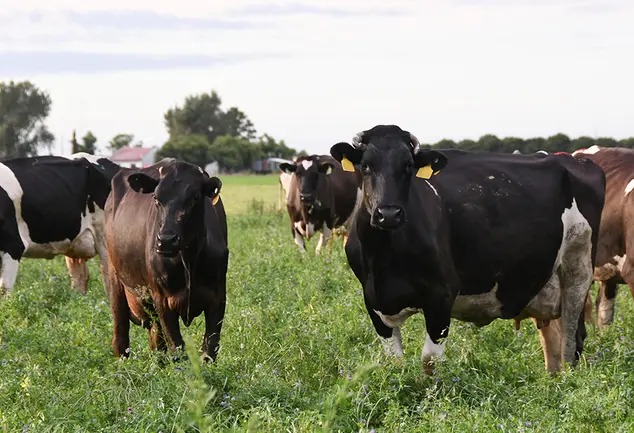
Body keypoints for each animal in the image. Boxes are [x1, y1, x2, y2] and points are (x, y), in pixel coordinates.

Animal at [104, 158, 228, 360]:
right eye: (156, 198)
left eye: (195, 197)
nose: (167, 240)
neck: (188, 261)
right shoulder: (162, 300)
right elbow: (177, 347)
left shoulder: (218, 297)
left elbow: (210, 349)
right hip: (116, 281)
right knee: (121, 339)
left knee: (156, 340)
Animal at [330, 125, 605, 375]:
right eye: (366, 166)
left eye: (408, 166)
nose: (388, 213)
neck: (384, 259)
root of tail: (573, 159)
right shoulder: (373, 301)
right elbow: (394, 362)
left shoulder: (441, 295)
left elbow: (429, 360)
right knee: (553, 339)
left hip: (578, 266)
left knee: (571, 338)